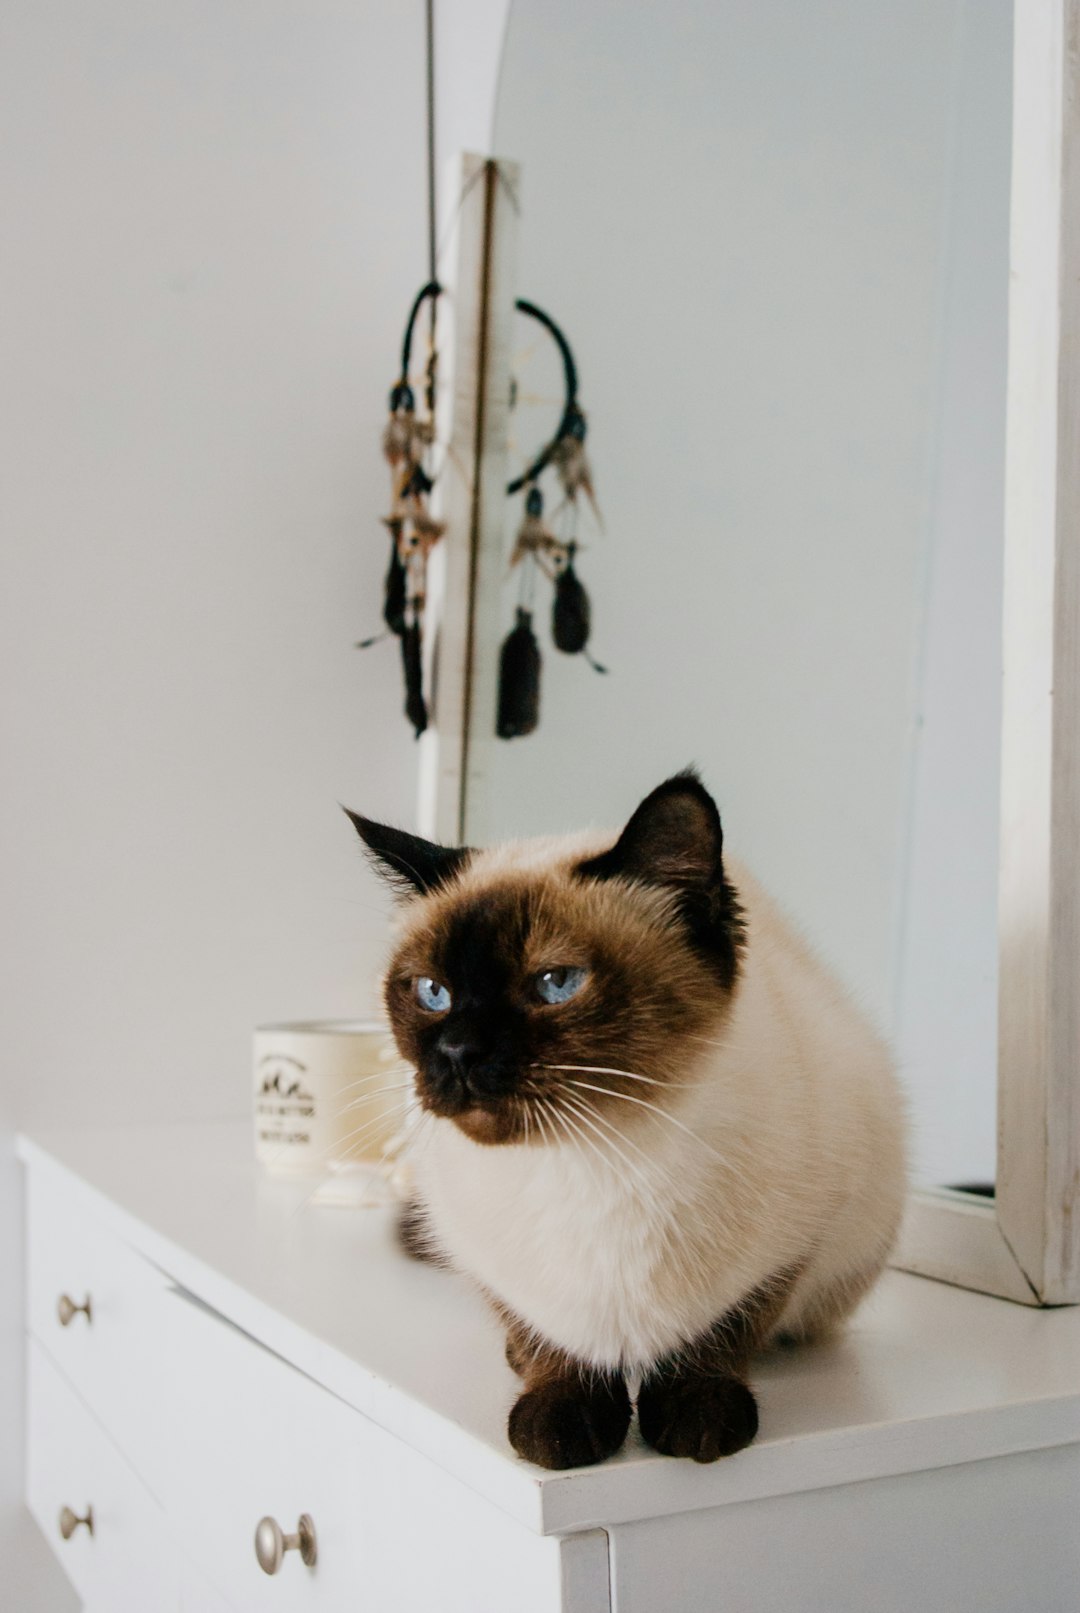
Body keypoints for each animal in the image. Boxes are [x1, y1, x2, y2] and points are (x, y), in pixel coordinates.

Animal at [351, 774, 909, 1471]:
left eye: (556, 983)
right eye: (432, 993)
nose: (456, 1053)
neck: (593, 1155)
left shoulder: (796, 1241)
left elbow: (724, 1331)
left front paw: (697, 1419)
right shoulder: (481, 1256)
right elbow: (542, 1337)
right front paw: (561, 1423)